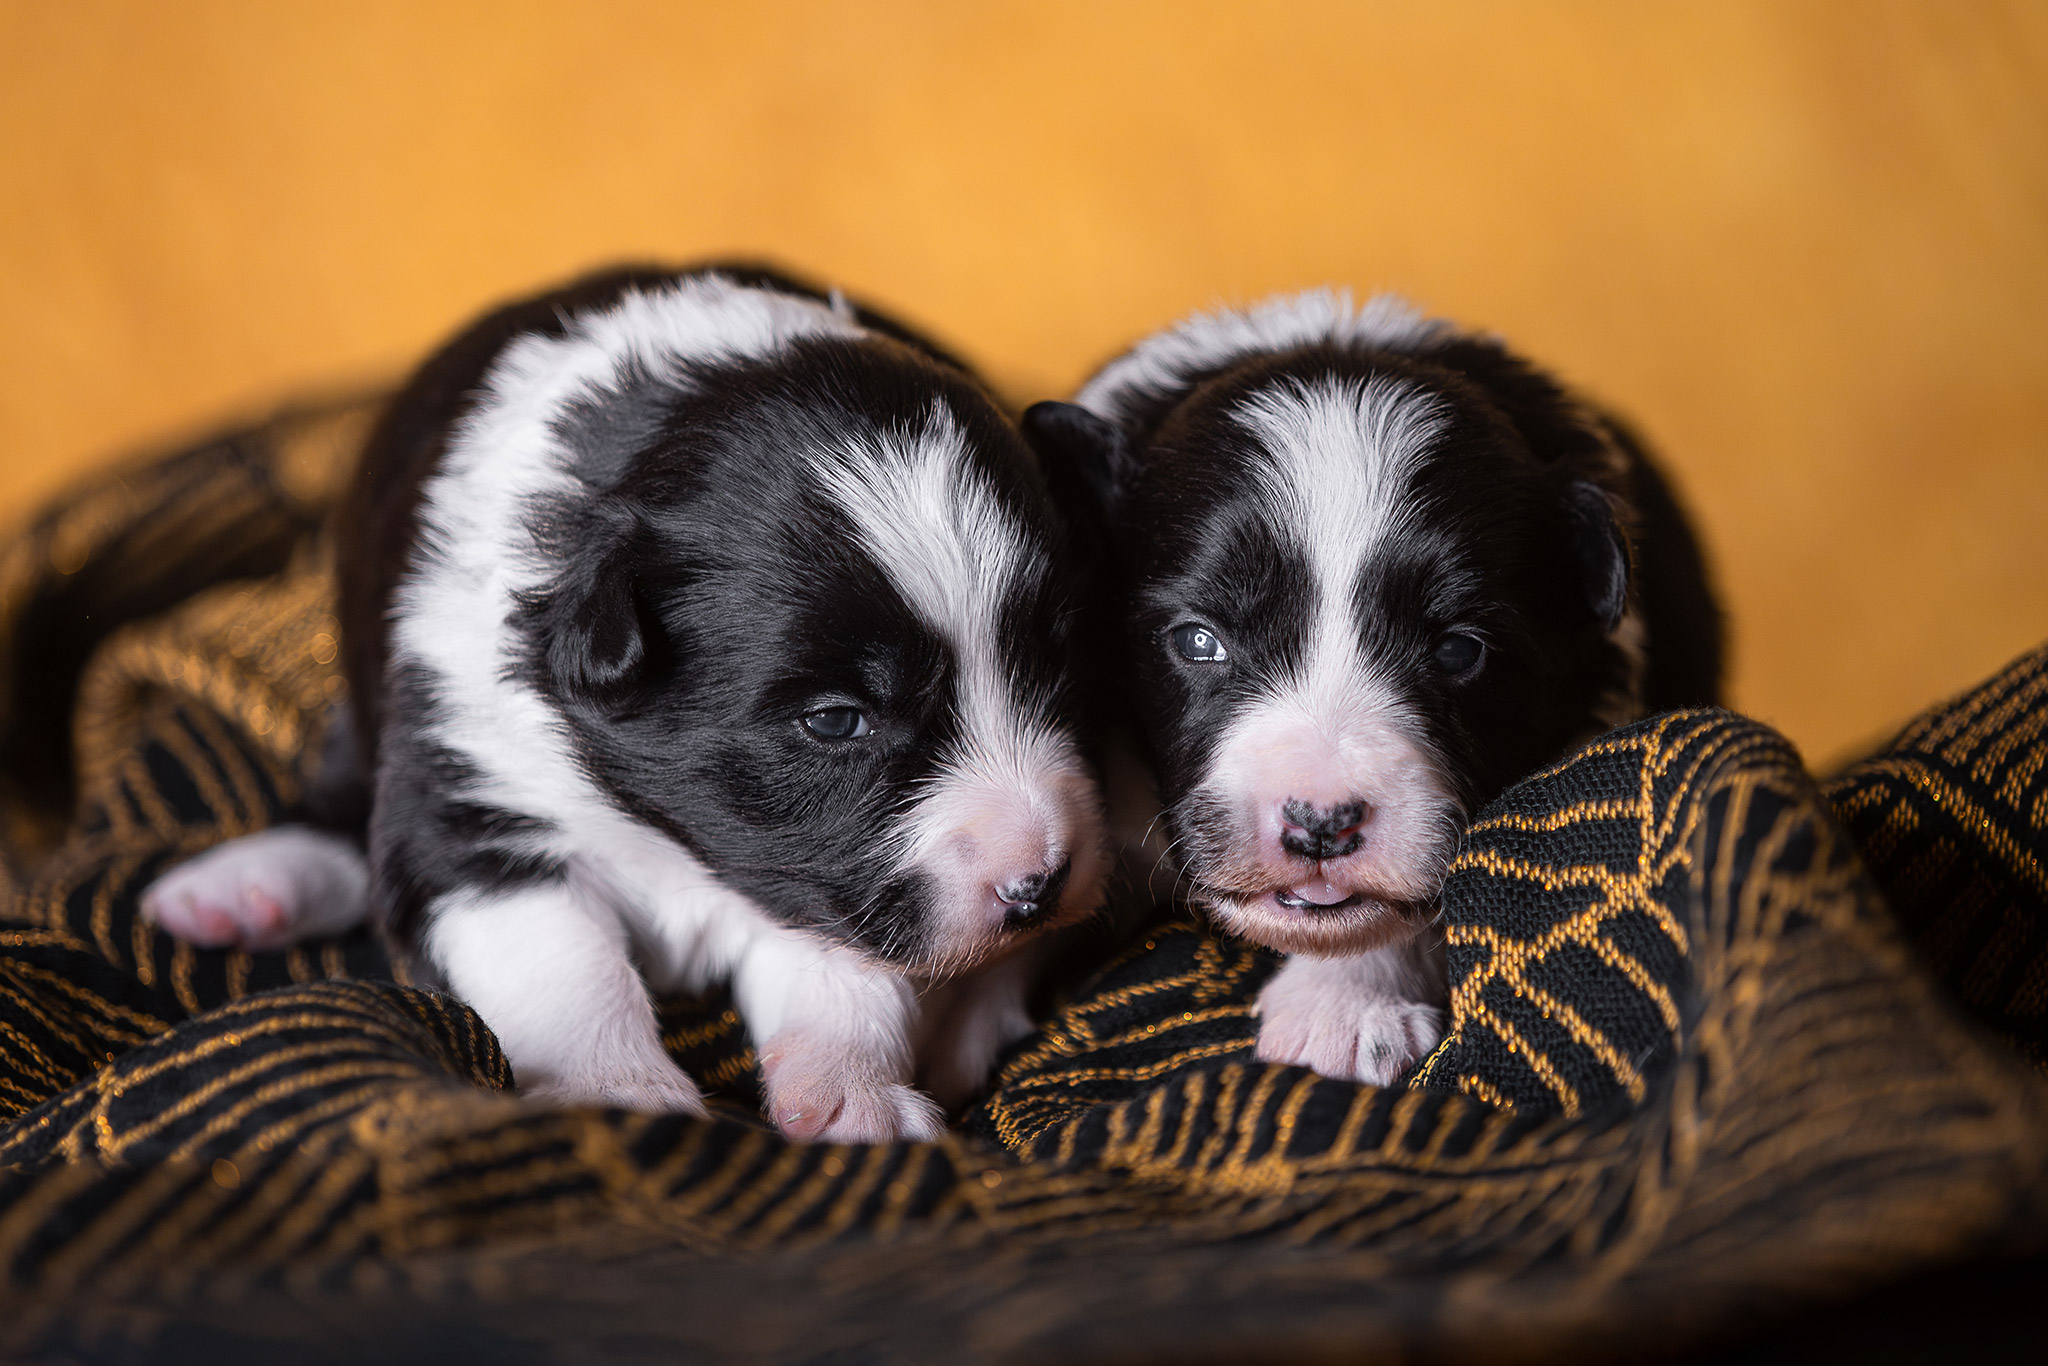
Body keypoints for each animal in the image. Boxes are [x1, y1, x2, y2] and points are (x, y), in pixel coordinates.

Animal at [148, 266, 1105, 1146]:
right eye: (835, 720)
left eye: (1062, 666)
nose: (1038, 885)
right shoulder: (475, 794)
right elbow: (564, 969)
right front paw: (617, 1094)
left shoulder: (817, 881)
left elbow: (843, 972)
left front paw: (852, 1096)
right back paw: (243, 887)